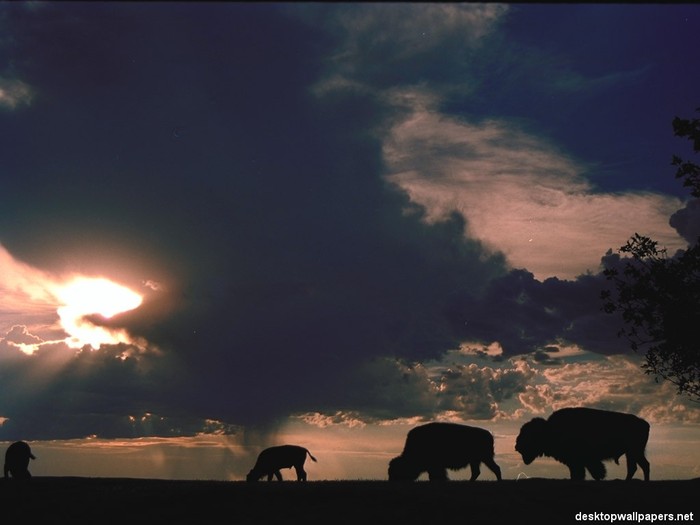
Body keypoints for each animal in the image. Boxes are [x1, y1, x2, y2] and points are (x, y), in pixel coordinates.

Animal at [516, 408, 652, 482]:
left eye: (528, 435)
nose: (517, 446)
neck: (550, 430)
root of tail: (645, 423)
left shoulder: (582, 461)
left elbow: (589, 473)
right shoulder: (577, 462)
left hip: (634, 452)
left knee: (637, 467)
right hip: (633, 453)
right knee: (640, 466)